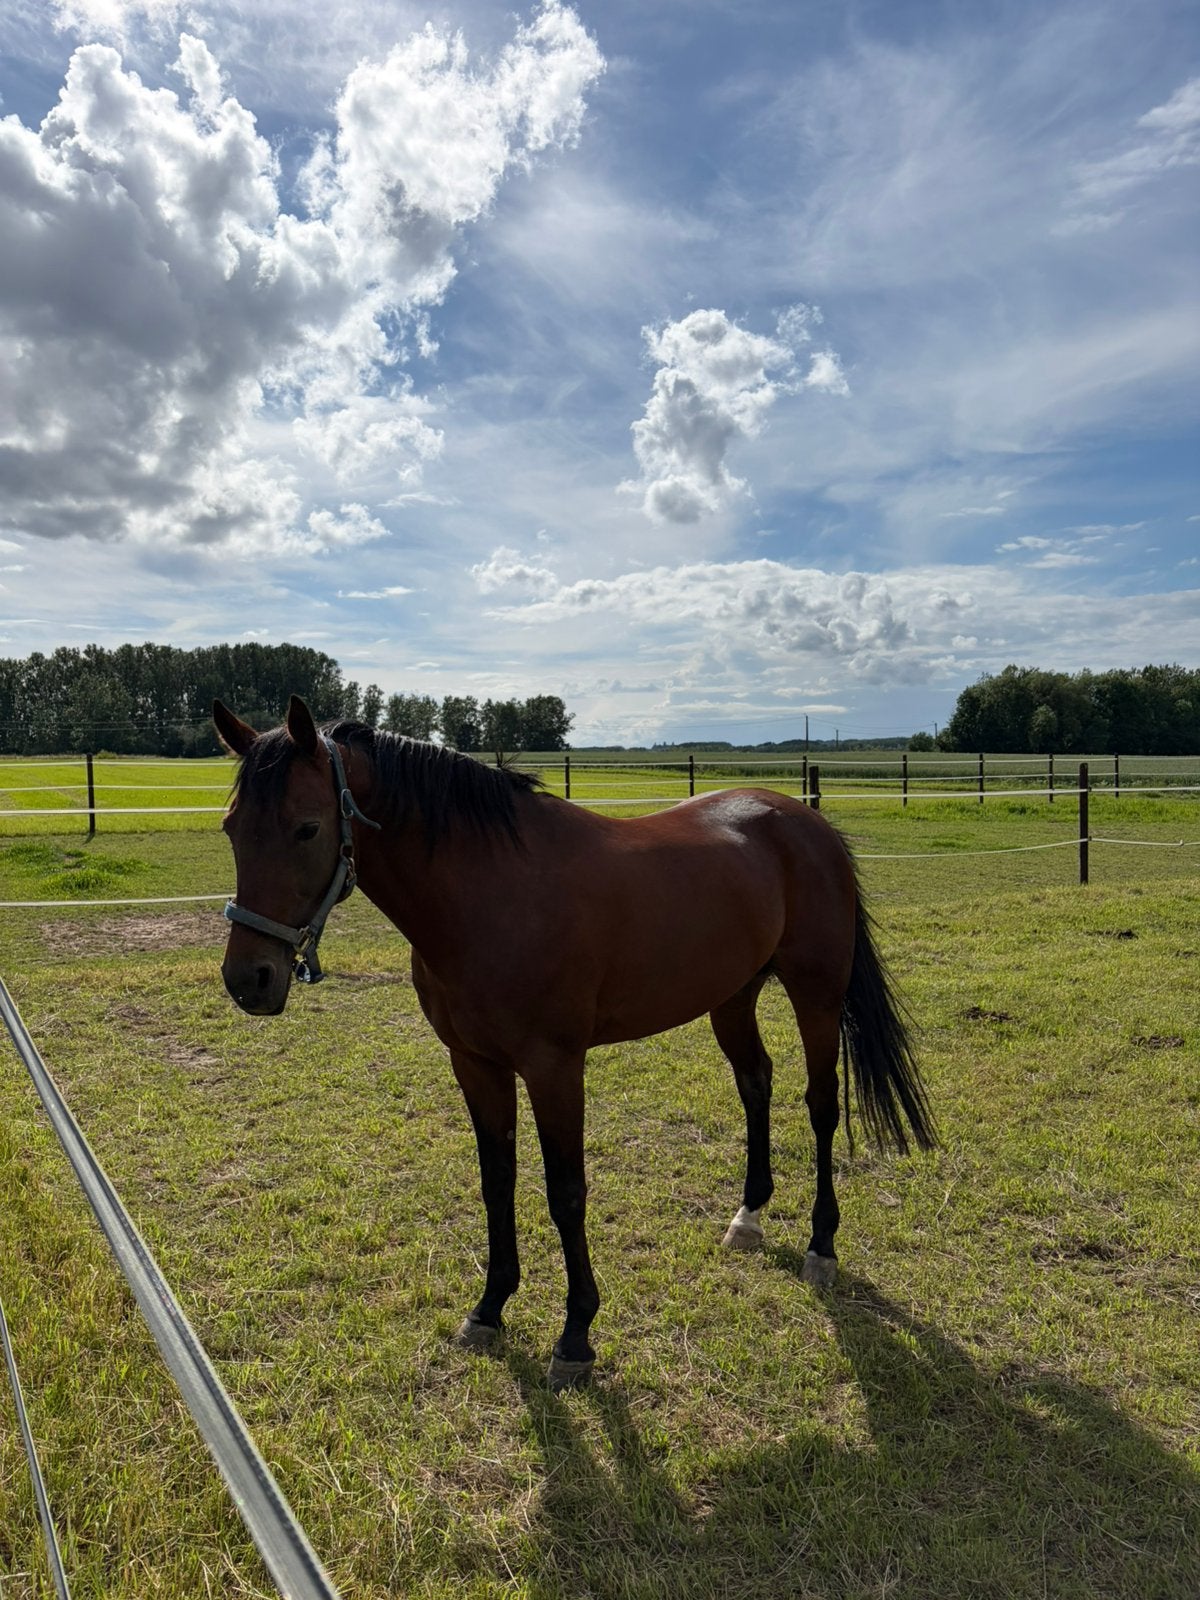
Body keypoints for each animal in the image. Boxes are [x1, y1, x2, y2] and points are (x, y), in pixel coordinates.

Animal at [214, 695, 934, 1388]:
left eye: (307, 827)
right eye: (231, 829)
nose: (249, 979)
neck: (491, 892)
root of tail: (807, 822)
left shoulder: (553, 1066)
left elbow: (566, 1192)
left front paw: (575, 1337)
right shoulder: (475, 1063)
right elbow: (496, 1180)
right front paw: (489, 1309)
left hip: (817, 994)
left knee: (821, 1104)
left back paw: (821, 1246)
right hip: (732, 996)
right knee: (756, 1083)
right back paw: (749, 1215)